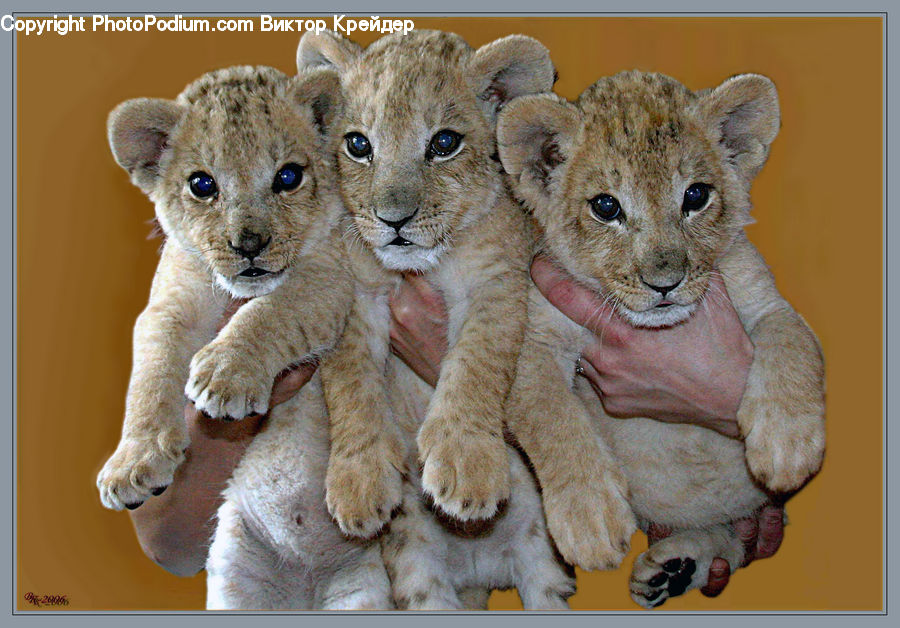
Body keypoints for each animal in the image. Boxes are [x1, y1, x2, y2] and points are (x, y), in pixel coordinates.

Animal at [497, 70, 826, 606]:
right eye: (606, 206)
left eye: (695, 197)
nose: (665, 283)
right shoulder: (537, 340)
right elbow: (549, 415)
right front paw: (589, 520)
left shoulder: (764, 302)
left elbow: (794, 344)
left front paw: (787, 448)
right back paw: (671, 568)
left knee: (733, 537)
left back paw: (676, 565)